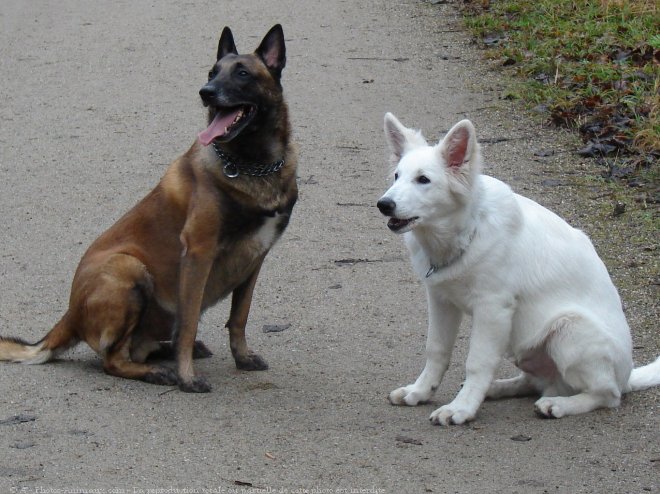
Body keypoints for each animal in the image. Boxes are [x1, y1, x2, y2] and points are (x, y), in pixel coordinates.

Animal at [0, 24, 296, 394]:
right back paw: (157, 371)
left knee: (138, 347)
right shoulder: (198, 253)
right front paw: (187, 378)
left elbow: (238, 317)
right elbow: (188, 323)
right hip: (128, 269)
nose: (206, 92)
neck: (252, 165)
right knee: (113, 360)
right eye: (212, 73)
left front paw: (241, 357)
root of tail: (69, 315)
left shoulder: (256, 257)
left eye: (242, 74)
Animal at [376, 112, 660, 424]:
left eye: (423, 180)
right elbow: (436, 349)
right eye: (396, 176)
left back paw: (558, 405)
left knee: (606, 395)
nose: (383, 204)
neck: (467, 229)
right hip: (524, 347)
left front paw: (461, 408)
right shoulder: (441, 299)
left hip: (570, 329)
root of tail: (627, 376)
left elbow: (477, 362)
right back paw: (497, 389)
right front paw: (420, 391)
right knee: (537, 383)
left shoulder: (493, 309)